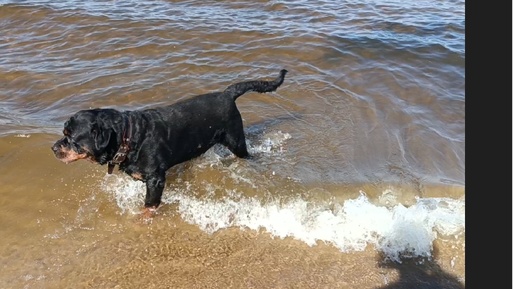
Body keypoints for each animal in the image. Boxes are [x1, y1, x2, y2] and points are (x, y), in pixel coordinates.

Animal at [52, 68, 288, 215]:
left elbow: (149, 205)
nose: (53, 148)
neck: (129, 136)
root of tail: (226, 94)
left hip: (235, 140)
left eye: (71, 138)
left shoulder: (155, 180)